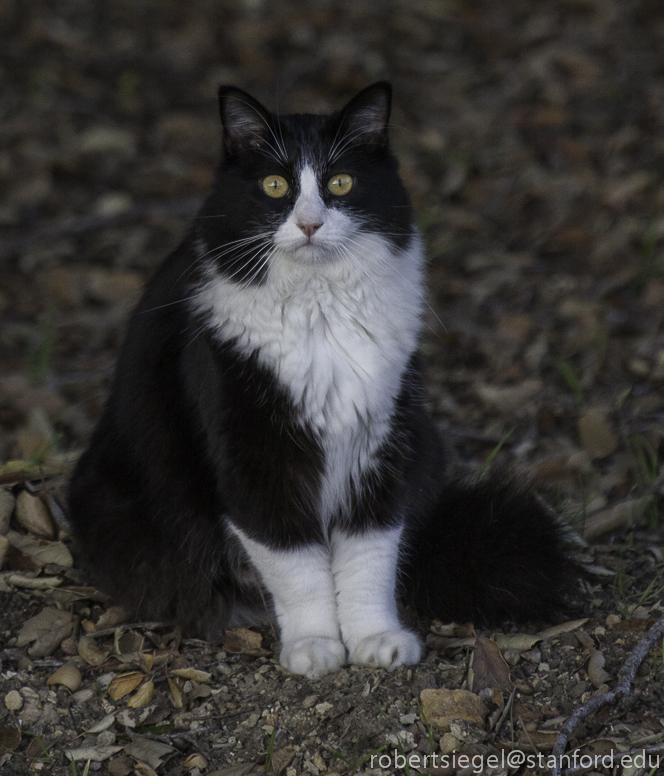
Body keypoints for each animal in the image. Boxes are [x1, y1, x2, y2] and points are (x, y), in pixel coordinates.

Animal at [67, 83, 576, 680]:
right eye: (274, 185)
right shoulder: (255, 457)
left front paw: (375, 638)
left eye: (340, 183)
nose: (310, 223)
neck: (320, 311)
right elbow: (296, 565)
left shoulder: (382, 443)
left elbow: (369, 556)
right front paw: (314, 645)